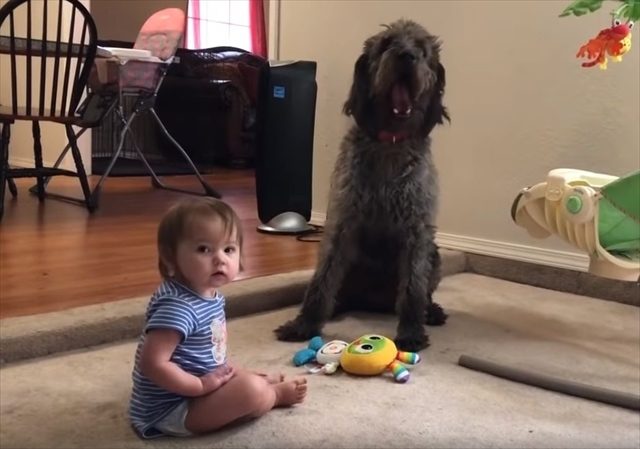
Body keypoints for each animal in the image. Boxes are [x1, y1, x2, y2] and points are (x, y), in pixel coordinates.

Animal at [276, 18, 450, 354]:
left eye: (422, 49)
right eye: (387, 44)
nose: (407, 56)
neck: (390, 144)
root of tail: (375, 303)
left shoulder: (416, 230)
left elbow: (413, 288)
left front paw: (411, 330)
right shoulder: (343, 221)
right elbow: (322, 281)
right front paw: (304, 324)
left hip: (434, 253)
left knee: (421, 291)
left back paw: (430, 310)